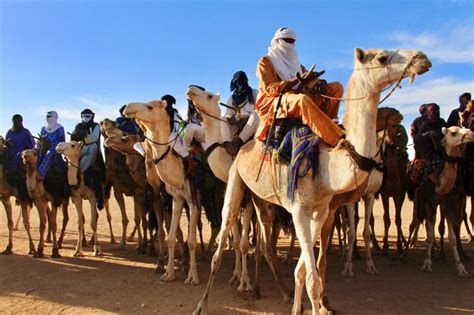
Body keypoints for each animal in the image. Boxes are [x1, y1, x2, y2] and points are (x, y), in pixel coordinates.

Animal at [193, 47, 434, 315]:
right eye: (382, 57)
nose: (422, 58)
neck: (329, 162)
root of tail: (242, 146)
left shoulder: (321, 210)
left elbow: (304, 271)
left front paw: (300, 307)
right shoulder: (300, 210)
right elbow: (313, 279)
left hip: (261, 200)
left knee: (264, 243)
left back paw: (262, 289)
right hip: (236, 183)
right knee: (224, 239)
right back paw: (203, 304)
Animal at [406, 126, 474, 276]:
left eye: (464, 128)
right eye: (453, 133)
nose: (472, 134)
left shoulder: (447, 200)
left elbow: (451, 236)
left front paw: (460, 267)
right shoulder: (428, 200)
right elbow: (430, 234)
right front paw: (427, 263)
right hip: (418, 197)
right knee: (415, 221)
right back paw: (406, 250)